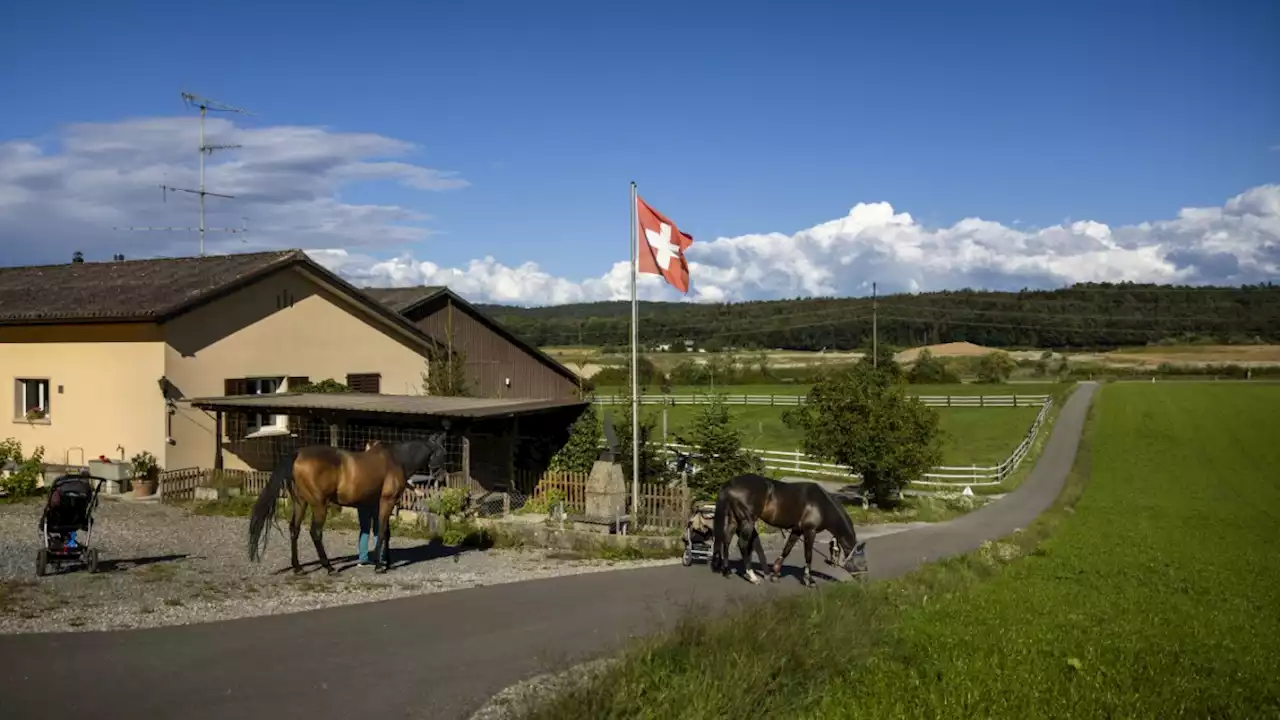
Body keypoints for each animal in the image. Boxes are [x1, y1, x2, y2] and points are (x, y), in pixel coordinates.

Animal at [247, 430, 448, 571]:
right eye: (442, 453)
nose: (442, 476)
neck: (396, 459)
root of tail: (298, 454)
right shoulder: (387, 501)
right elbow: (383, 531)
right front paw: (379, 566)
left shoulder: (378, 503)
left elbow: (385, 532)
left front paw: (387, 562)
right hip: (319, 505)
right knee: (315, 532)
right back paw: (329, 567)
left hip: (300, 503)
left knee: (294, 530)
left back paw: (298, 568)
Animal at [711, 474, 870, 586]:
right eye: (862, 563)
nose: (864, 580)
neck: (821, 505)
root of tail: (730, 484)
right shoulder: (809, 531)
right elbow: (808, 555)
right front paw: (809, 580)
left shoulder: (797, 530)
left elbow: (787, 550)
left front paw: (775, 573)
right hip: (747, 521)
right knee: (742, 544)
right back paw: (752, 576)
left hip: (734, 519)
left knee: (726, 541)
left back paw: (727, 571)